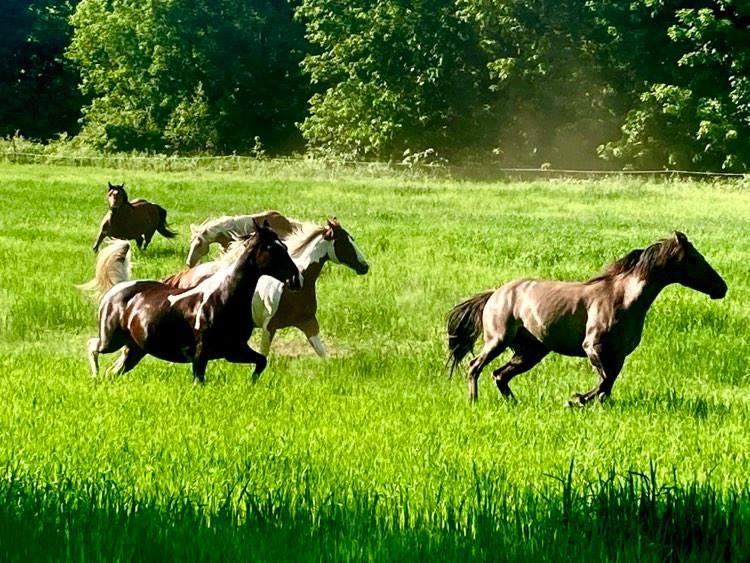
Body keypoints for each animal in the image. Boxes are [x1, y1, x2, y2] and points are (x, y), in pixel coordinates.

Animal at [83, 220, 302, 384]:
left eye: (284, 247)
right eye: (272, 249)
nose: (296, 279)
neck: (223, 297)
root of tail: (118, 287)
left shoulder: (235, 350)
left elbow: (261, 361)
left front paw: (252, 384)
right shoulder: (201, 352)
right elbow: (199, 380)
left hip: (135, 350)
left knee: (114, 370)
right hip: (111, 339)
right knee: (93, 346)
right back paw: (95, 375)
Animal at [166, 216, 368, 356]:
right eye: (345, 242)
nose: (365, 266)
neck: (292, 288)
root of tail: (183, 276)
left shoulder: (309, 323)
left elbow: (323, 355)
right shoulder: (268, 327)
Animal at [446, 231, 728, 408]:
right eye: (695, 259)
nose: (722, 288)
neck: (623, 298)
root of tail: (495, 293)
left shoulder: (618, 355)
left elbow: (608, 384)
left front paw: (586, 403)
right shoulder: (594, 348)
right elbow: (604, 381)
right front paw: (575, 400)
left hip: (531, 351)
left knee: (500, 375)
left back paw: (514, 404)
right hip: (498, 340)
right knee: (475, 366)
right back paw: (473, 401)